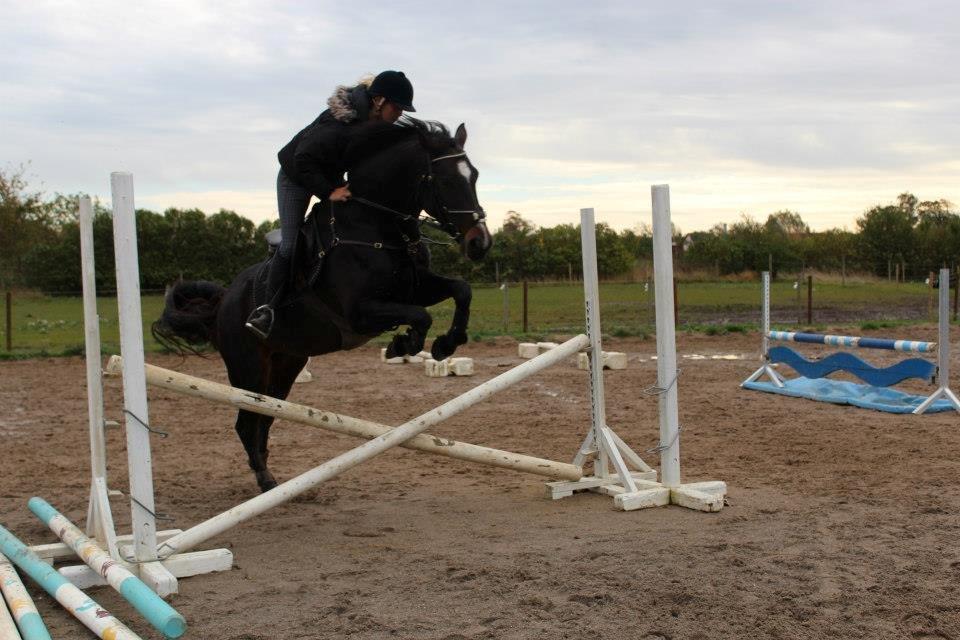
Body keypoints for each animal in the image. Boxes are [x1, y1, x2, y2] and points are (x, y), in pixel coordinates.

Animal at [156, 119, 496, 490]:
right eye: (445, 180)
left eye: (475, 176)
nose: (480, 243)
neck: (374, 225)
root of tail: (222, 303)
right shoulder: (361, 313)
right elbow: (420, 317)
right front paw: (403, 344)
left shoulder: (415, 289)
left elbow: (462, 290)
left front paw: (446, 344)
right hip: (249, 368)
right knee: (247, 423)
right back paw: (266, 481)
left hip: (286, 365)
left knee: (265, 419)